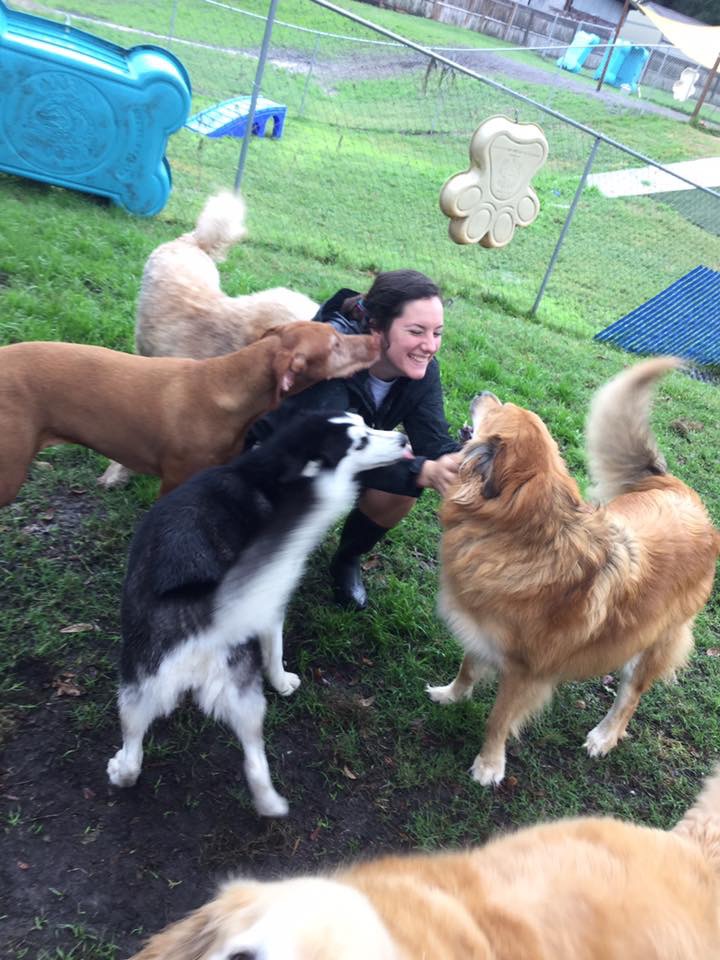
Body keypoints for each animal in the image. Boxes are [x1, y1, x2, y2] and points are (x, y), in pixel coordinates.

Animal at [107, 410, 410, 816]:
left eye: (367, 423)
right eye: (360, 441)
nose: (404, 441)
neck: (272, 472)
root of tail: (198, 607)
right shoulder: (270, 603)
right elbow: (275, 652)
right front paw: (282, 681)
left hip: (147, 690)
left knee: (173, 755)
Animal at [424, 356, 716, 784]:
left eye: (499, 409)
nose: (484, 393)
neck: (520, 534)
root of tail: (680, 491)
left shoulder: (525, 671)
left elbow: (498, 720)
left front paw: (490, 765)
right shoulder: (481, 633)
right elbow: (467, 669)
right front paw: (451, 696)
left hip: (649, 646)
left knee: (629, 698)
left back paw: (604, 736)